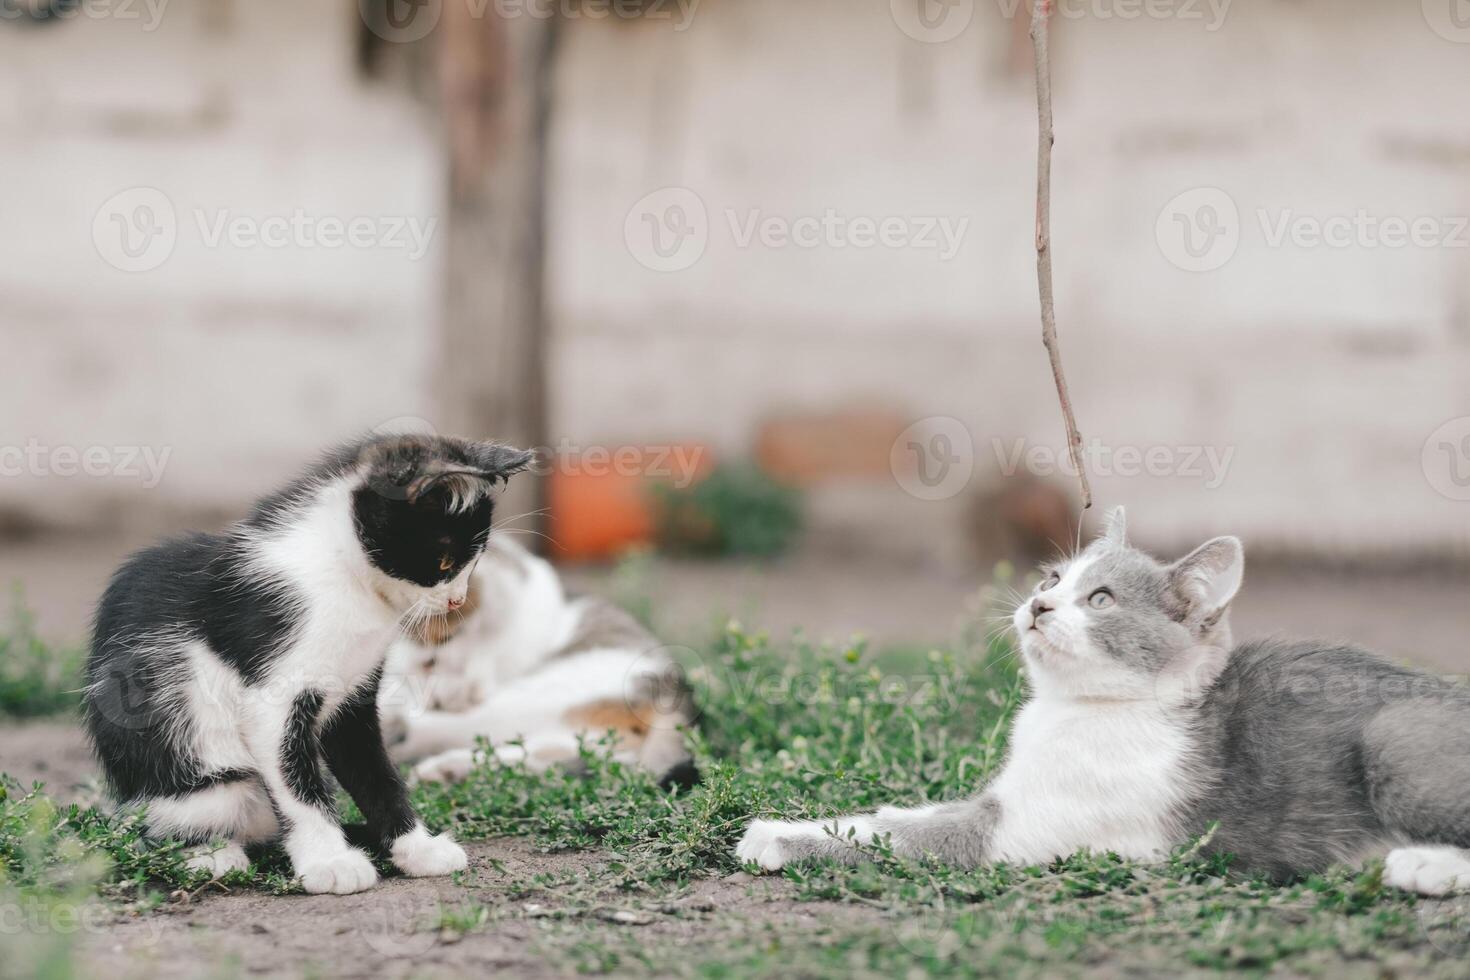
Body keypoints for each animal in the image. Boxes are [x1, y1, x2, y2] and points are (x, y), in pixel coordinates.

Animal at [84, 437, 535, 899]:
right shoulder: (273, 696)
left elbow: (376, 771)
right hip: (197, 768)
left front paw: (416, 849)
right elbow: (297, 781)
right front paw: (329, 861)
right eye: (444, 562)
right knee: (165, 827)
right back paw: (210, 855)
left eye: (475, 562)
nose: (456, 601)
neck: (348, 576)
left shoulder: (354, 695)